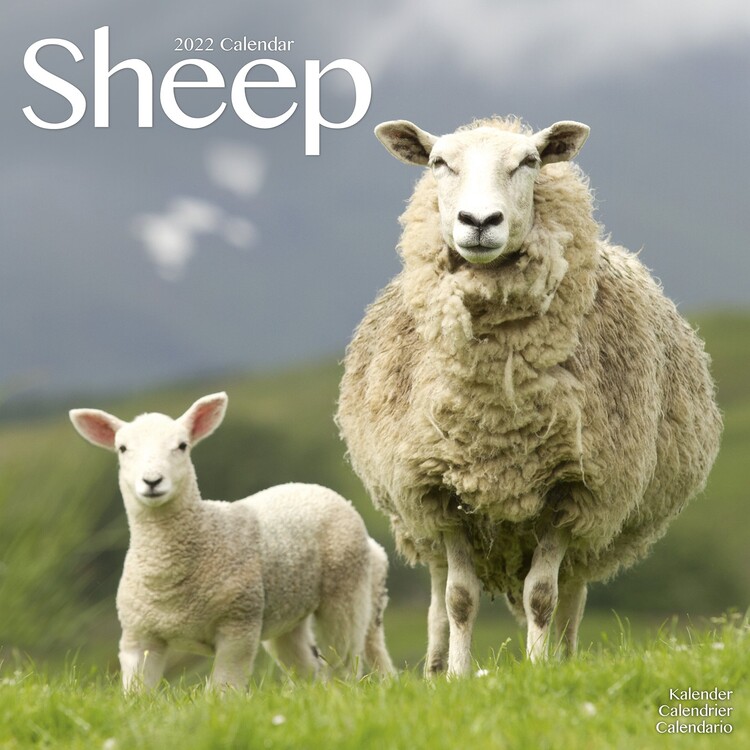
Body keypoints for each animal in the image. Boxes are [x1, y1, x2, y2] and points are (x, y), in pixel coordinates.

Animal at [69, 392, 394, 691]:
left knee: (345, 662)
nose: (152, 481)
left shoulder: (238, 625)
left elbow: (225, 688)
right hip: (289, 611)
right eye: (122, 448)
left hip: (346, 594)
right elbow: (138, 692)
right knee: (304, 665)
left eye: (182, 446)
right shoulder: (139, 636)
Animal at [337, 116, 722, 677]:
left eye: (530, 161)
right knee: (436, 596)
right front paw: (458, 675)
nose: (479, 221)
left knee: (571, 596)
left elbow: (542, 596)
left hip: (593, 525)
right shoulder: (441, 489)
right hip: (418, 518)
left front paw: (539, 668)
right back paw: (433, 669)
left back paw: (564, 656)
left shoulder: (572, 489)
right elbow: (458, 599)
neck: (499, 416)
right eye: (438, 162)